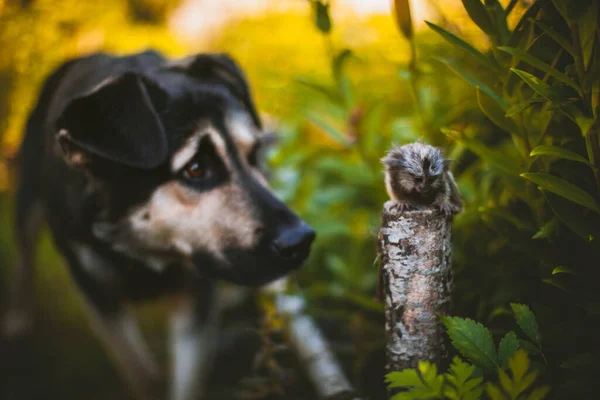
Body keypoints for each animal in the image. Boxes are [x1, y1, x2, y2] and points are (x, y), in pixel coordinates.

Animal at [2, 50, 316, 400]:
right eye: (195, 168)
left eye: (254, 154)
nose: (302, 241)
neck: (141, 241)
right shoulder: (96, 292)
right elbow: (141, 373)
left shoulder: (197, 297)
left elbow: (188, 380)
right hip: (28, 197)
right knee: (24, 253)